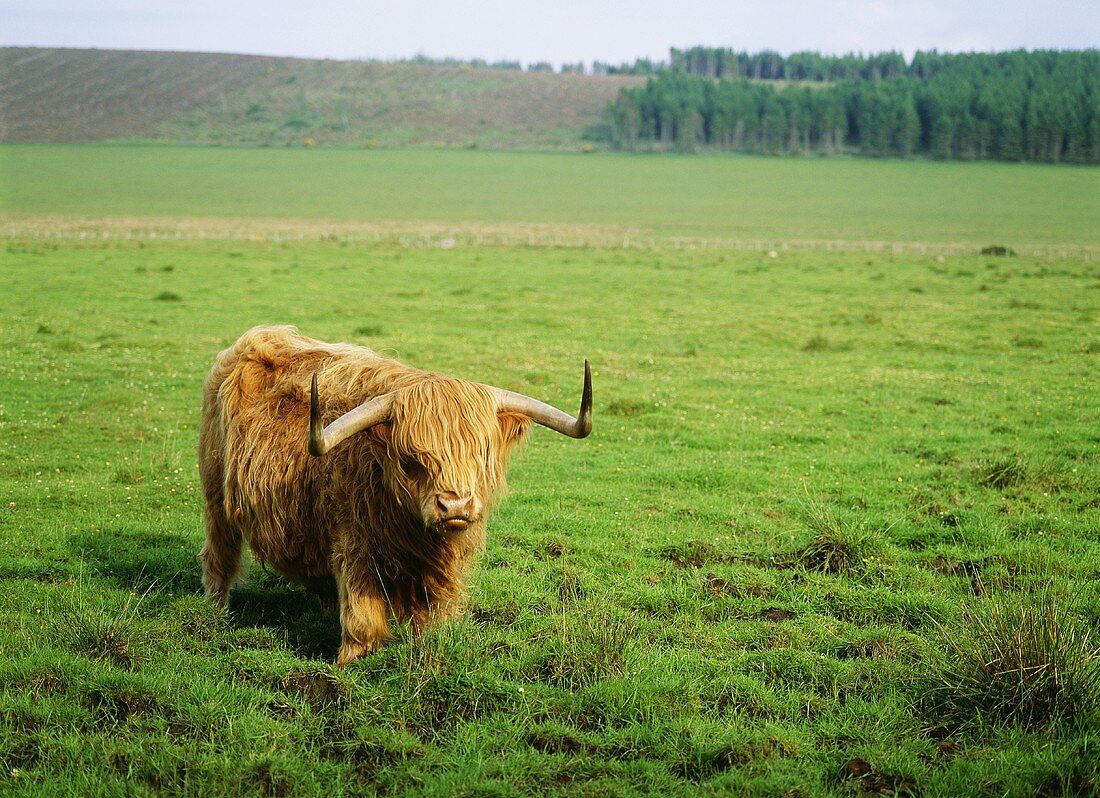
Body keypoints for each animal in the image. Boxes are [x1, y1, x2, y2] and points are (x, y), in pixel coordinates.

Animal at [198, 325, 594, 664]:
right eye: (411, 459)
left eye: (480, 453)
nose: (454, 505)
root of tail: (258, 337)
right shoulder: (354, 542)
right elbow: (362, 617)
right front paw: (348, 661)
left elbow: (430, 619)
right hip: (216, 497)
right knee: (219, 558)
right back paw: (216, 609)